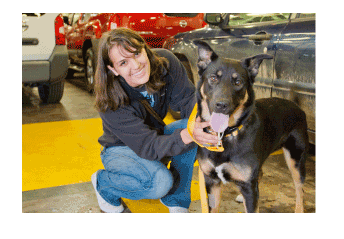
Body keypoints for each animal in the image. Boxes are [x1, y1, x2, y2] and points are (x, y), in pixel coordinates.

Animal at [192, 40, 308, 213]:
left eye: (238, 82)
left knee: (300, 189)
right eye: (213, 78)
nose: (221, 105)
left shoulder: (248, 188)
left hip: (296, 159)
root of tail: (295, 105)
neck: (226, 135)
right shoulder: (212, 182)